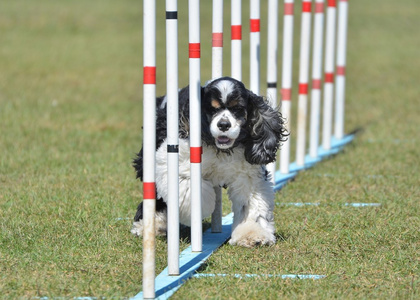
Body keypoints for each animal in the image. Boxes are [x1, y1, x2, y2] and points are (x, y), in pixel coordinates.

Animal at [132, 76, 288, 247]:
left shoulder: (248, 175)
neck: (220, 148)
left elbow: (251, 205)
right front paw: (198, 210)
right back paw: (150, 226)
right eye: (212, 109)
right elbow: (188, 189)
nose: (224, 125)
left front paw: (253, 235)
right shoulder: (173, 161)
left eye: (237, 108)